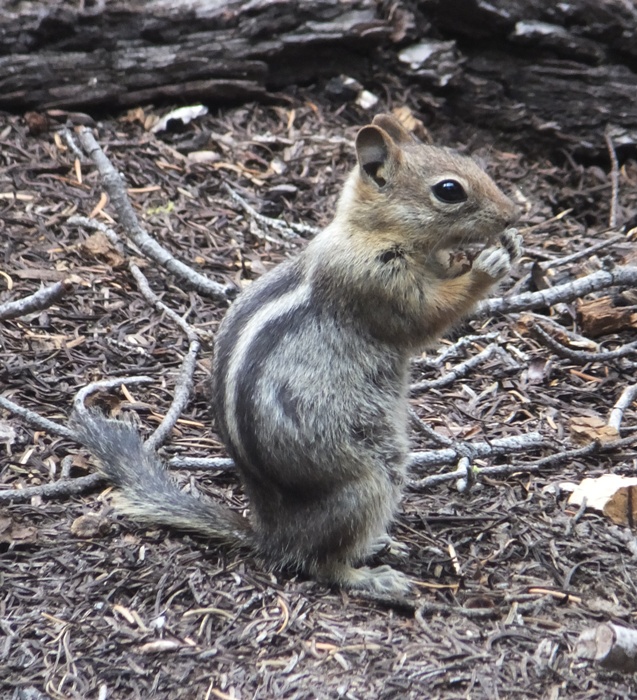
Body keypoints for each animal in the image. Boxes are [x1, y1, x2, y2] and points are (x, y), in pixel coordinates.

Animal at [76, 115, 520, 596]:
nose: (513, 215)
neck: (369, 231)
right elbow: (429, 316)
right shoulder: (377, 283)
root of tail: (274, 533)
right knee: (322, 563)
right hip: (368, 482)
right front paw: (492, 262)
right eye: (449, 190)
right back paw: (373, 578)